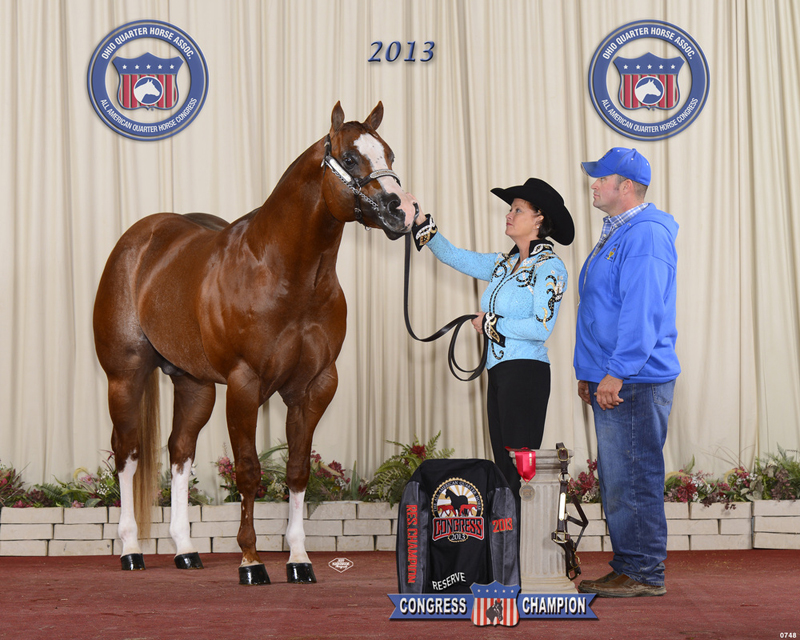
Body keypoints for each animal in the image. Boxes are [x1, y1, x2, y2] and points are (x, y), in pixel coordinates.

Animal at [93, 101, 416, 585]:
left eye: (390, 155)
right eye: (350, 157)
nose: (402, 211)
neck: (285, 275)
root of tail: (139, 240)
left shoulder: (314, 388)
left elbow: (298, 472)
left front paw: (299, 559)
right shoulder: (245, 386)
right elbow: (248, 472)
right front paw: (251, 560)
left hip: (195, 386)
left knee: (179, 452)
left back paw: (185, 550)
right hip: (125, 377)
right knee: (128, 454)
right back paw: (131, 549)